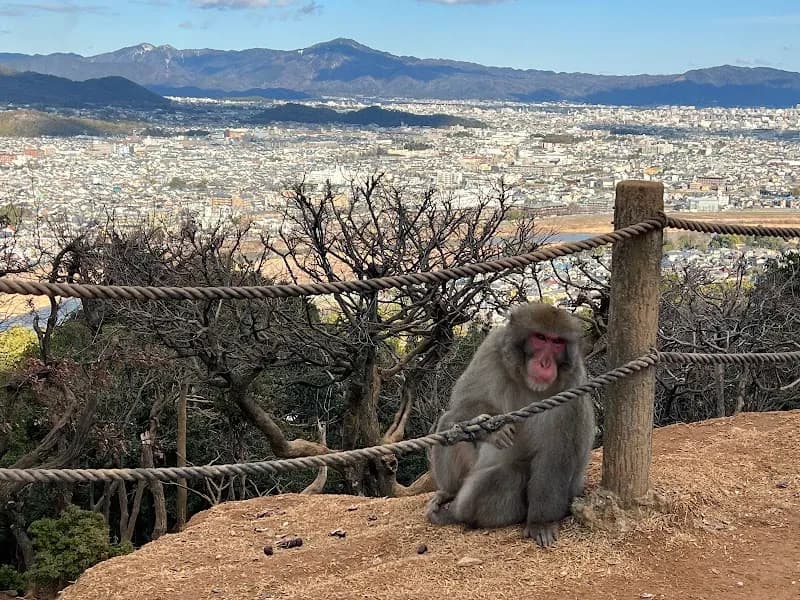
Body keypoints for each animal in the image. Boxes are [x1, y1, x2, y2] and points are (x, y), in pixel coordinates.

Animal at [425, 302, 594, 548]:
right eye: (540, 338)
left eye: (557, 342)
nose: (545, 363)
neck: (528, 382)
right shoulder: (491, 349)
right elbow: (464, 402)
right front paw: (491, 430)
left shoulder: (571, 388)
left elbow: (555, 454)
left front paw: (541, 523)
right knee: (450, 420)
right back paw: (449, 493)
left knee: (510, 474)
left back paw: (455, 514)